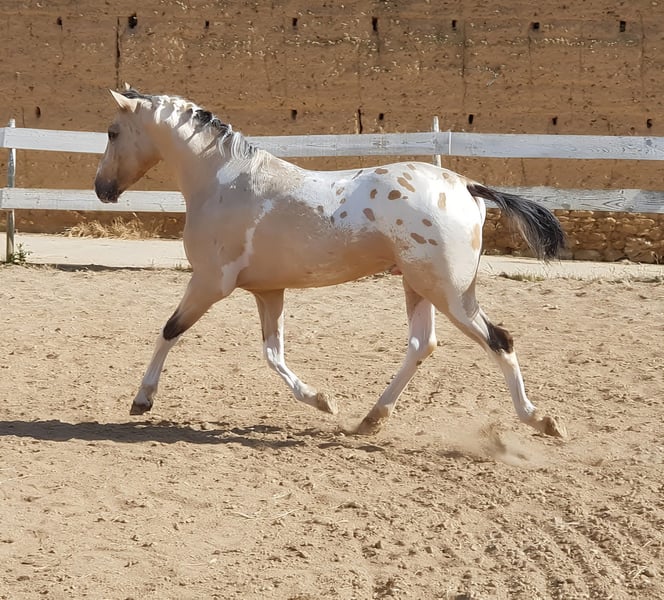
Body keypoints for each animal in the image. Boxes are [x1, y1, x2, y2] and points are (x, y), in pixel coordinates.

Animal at [95, 88, 566, 438]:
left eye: (113, 132)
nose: (102, 189)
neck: (222, 181)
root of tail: (467, 185)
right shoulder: (268, 291)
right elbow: (273, 354)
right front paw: (323, 401)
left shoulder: (210, 283)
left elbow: (169, 330)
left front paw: (142, 400)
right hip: (420, 286)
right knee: (422, 344)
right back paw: (370, 420)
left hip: (449, 292)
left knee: (499, 341)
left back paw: (542, 421)